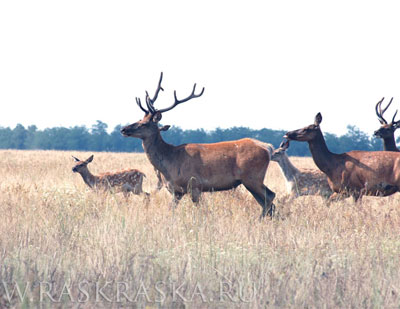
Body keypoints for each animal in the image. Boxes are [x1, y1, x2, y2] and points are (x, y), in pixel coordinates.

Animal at [119, 73, 276, 217]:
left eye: (144, 124)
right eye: (139, 119)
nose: (124, 129)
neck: (170, 163)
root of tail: (267, 147)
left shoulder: (194, 185)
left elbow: (202, 212)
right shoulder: (176, 191)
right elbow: (171, 211)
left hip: (252, 177)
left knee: (270, 197)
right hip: (249, 180)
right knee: (267, 201)